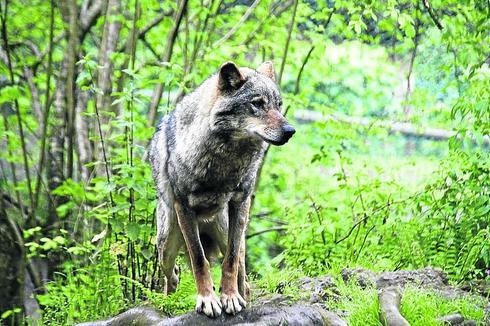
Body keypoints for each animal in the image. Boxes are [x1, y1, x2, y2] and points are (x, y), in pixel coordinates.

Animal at [149, 59, 294, 318]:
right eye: (258, 104)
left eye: (279, 105)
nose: (290, 131)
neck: (225, 162)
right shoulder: (184, 206)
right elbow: (200, 261)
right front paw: (208, 300)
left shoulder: (241, 202)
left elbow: (230, 261)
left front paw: (230, 298)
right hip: (165, 245)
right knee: (173, 275)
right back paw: (169, 306)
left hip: (229, 234)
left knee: (243, 275)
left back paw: (242, 298)